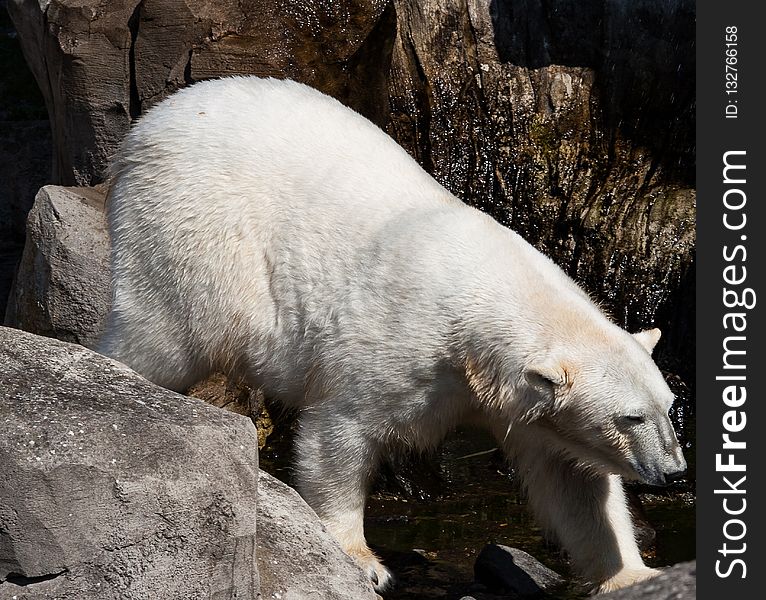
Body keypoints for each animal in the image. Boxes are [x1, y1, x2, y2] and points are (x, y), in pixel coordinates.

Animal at [96, 77, 688, 592]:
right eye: (630, 418)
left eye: (667, 407)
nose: (675, 471)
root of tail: (145, 128)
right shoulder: (399, 349)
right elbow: (339, 435)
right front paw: (363, 561)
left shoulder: (517, 404)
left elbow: (576, 485)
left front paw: (633, 574)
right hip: (195, 232)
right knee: (161, 336)